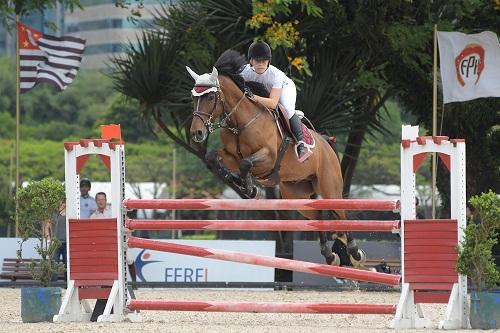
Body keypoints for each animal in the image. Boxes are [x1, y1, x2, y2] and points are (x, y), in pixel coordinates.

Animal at [187, 49, 364, 266]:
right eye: (193, 97)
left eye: (211, 97)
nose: (197, 133)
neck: (241, 122)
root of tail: (327, 143)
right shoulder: (230, 156)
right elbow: (213, 157)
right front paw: (240, 183)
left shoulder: (269, 158)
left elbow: (246, 163)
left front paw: (250, 188)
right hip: (296, 194)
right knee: (317, 214)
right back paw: (330, 256)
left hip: (329, 188)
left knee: (341, 212)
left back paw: (355, 252)